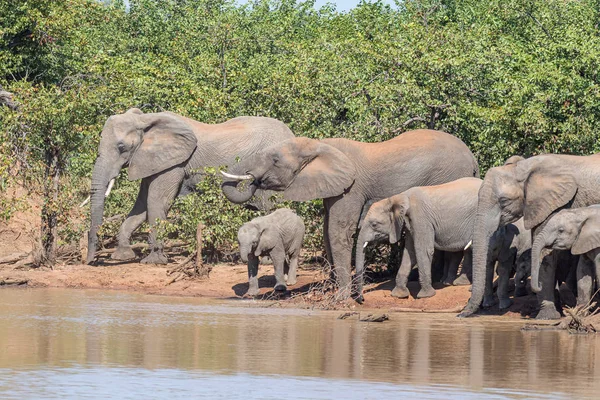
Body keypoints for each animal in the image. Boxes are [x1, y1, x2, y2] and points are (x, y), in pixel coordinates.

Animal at [87, 109, 296, 266]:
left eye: (121, 147)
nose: (89, 262)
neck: (146, 119)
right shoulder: (151, 160)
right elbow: (141, 205)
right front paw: (122, 256)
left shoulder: (175, 163)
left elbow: (157, 201)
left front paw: (154, 261)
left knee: (270, 207)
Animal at [219, 130, 478, 298]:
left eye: (275, 159)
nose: (254, 180)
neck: (319, 145)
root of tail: (473, 159)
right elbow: (327, 231)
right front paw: (333, 288)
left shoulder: (352, 187)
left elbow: (338, 231)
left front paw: (341, 296)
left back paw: (442, 281)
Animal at [462, 153, 600, 318]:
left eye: (503, 201)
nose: (461, 315)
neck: (523, 168)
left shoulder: (553, 203)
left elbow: (545, 253)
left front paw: (547, 317)